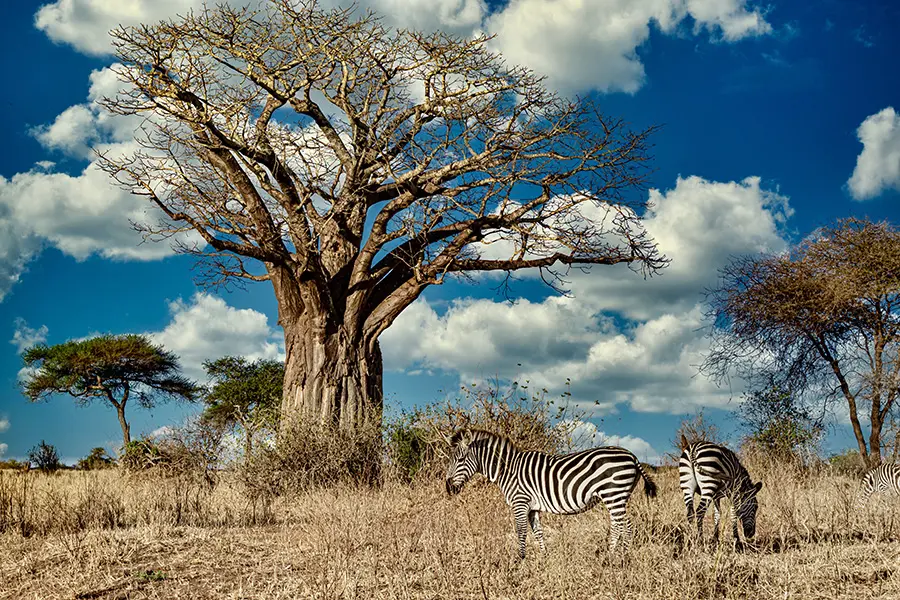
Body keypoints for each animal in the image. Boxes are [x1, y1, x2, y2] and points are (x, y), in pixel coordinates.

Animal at [444, 428, 658, 559]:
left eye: (460, 459)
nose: (448, 488)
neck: (509, 470)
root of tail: (632, 455)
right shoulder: (532, 507)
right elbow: (538, 531)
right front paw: (544, 556)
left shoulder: (520, 502)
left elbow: (521, 531)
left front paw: (520, 559)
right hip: (617, 497)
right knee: (622, 526)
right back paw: (618, 555)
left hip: (614, 494)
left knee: (623, 526)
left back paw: (615, 557)